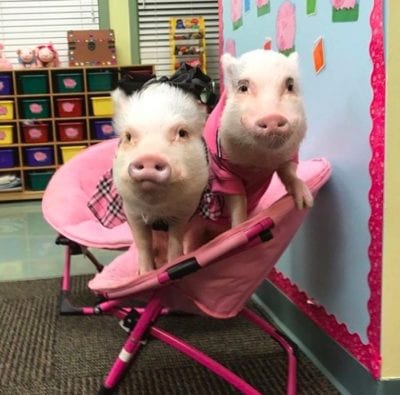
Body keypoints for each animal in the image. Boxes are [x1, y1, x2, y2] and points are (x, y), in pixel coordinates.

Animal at [111, 83, 208, 276]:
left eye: (182, 133)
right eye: (128, 136)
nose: (149, 158)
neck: (157, 208)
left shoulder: (185, 210)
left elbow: (176, 241)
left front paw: (173, 263)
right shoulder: (131, 211)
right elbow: (143, 243)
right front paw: (145, 274)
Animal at [205, 48, 314, 229]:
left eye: (290, 86)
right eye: (243, 87)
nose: (272, 118)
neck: (260, 162)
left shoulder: (290, 154)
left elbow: (289, 172)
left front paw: (306, 203)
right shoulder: (221, 170)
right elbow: (237, 200)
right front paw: (239, 229)